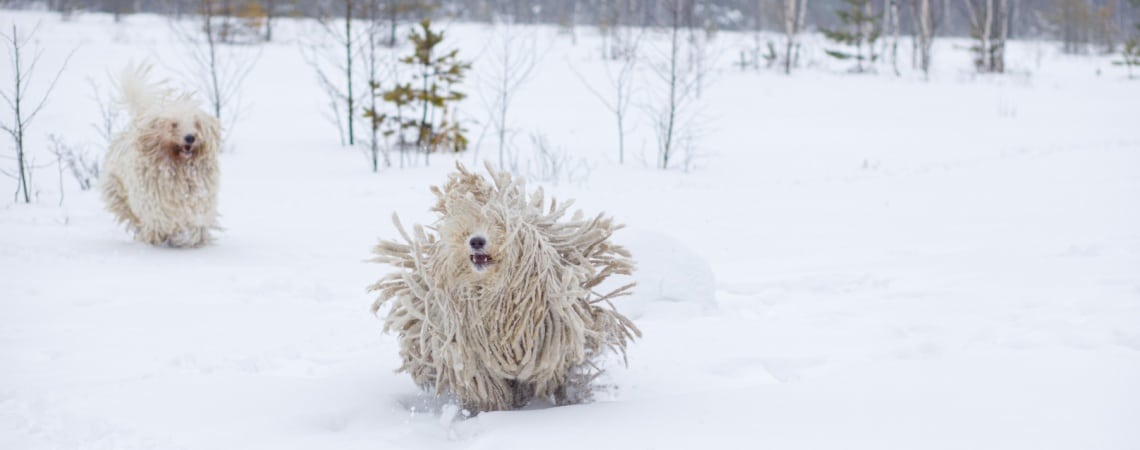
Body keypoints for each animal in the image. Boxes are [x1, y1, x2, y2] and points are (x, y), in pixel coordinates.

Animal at [101, 63, 221, 248]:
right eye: (174, 124)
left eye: (196, 123)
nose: (190, 137)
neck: (179, 167)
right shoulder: (154, 206)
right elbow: (159, 221)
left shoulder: (200, 203)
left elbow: (197, 225)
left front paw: (190, 239)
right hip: (118, 193)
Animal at [371, 161, 642, 412]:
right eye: (467, 229)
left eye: (500, 227)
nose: (476, 241)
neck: (495, 296)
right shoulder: (472, 353)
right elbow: (486, 385)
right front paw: (491, 410)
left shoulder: (550, 346)